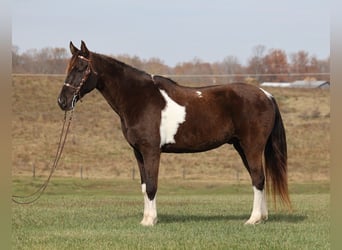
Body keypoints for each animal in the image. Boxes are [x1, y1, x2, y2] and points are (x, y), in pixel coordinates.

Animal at [57, 41, 290, 227]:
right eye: (68, 67)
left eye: (81, 68)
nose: (62, 101)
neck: (139, 98)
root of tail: (266, 95)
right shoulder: (138, 153)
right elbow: (144, 186)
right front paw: (146, 219)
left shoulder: (151, 151)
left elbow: (152, 186)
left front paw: (150, 221)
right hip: (242, 147)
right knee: (258, 179)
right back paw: (262, 217)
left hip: (251, 147)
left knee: (258, 179)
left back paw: (253, 219)